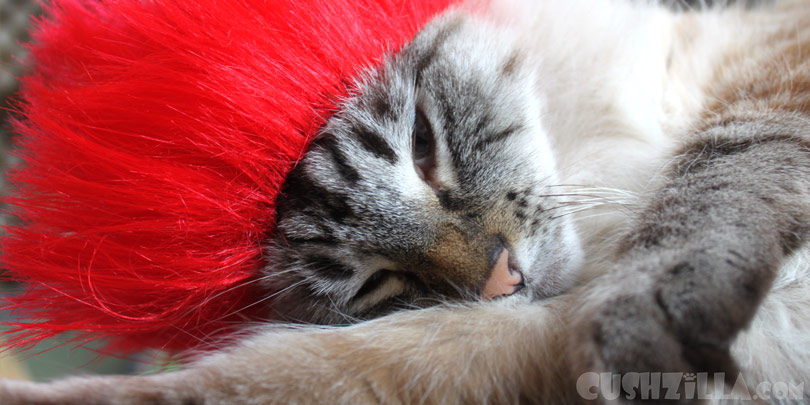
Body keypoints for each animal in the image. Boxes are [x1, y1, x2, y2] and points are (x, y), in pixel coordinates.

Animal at [1, 0, 808, 400]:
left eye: (421, 146)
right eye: (373, 280)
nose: (502, 280)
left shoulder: (771, 59)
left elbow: (721, 175)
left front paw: (656, 311)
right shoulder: (484, 345)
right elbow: (255, 381)